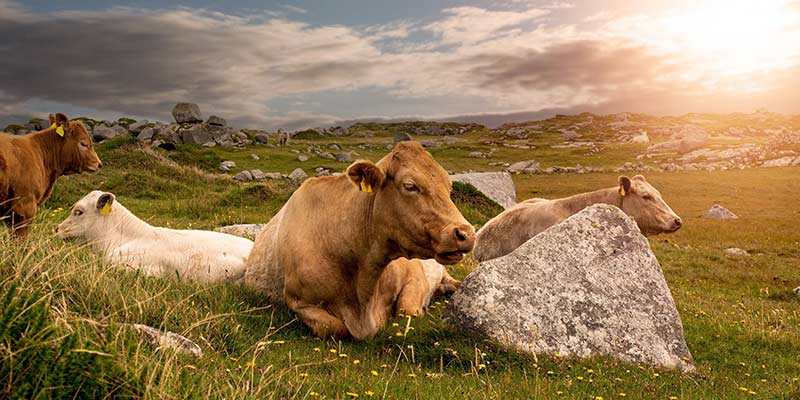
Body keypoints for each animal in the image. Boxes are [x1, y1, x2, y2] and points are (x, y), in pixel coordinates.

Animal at [245, 142, 476, 340]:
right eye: (410, 186)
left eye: (449, 186)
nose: (466, 234)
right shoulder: (298, 302)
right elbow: (334, 328)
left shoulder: (413, 274)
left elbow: (407, 310)